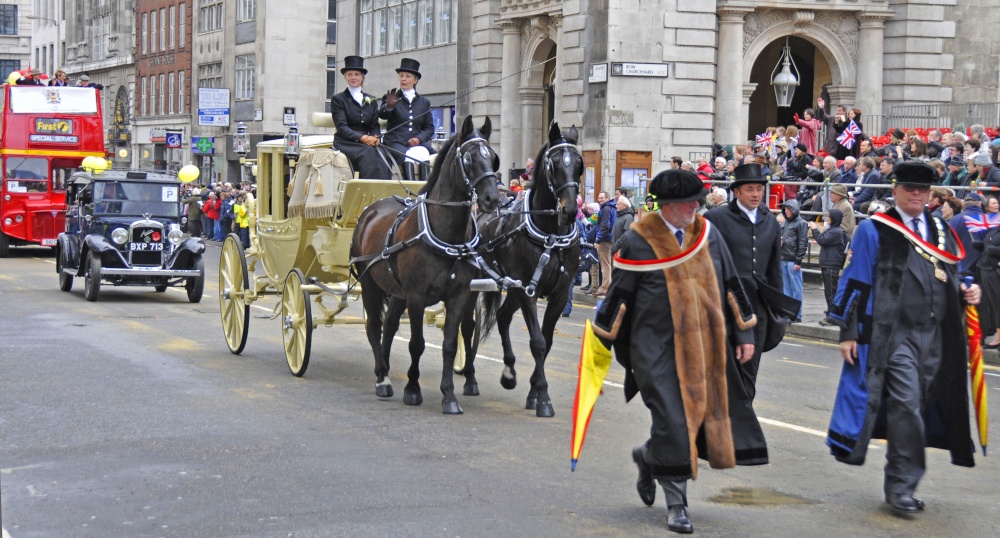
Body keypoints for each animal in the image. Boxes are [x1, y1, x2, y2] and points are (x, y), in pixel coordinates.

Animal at [354, 115, 508, 412]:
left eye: (493, 157)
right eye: (469, 158)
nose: (493, 199)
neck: (448, 235)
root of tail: (371, 209)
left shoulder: (459, 295)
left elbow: (449, 344)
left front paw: (449, 395)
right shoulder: (416, 296)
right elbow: (417, 343)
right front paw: (412, 389)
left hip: (396, 291)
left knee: (389, 325)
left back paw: (385, 368)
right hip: (369, 284)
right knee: (374, 327)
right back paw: (382, 379)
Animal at [462, 121, 584, 414]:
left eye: (579, 164)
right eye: (553, 165)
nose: (570, 210)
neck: (550, 234)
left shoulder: (557, 294)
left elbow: (546, 341)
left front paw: (533, 392)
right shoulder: (530, 290)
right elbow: (537, 342)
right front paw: (544, 397)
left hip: (512, 289)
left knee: (503, 317)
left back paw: (509, 373)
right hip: (476, 285)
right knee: (468, 325)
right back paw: (470, 377)